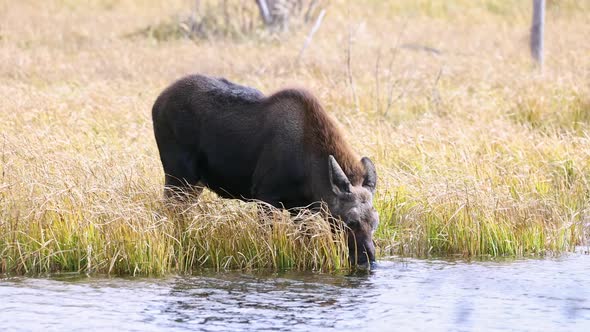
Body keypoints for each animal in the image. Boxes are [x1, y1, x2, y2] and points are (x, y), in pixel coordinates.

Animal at [153, 74, 382, 268]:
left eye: (375, 222)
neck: (309, 176)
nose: (367, 259)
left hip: (194, 183)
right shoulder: (265, 197)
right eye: (350, 221)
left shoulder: (301, 208)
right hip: (177, 176)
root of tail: (157, 103)